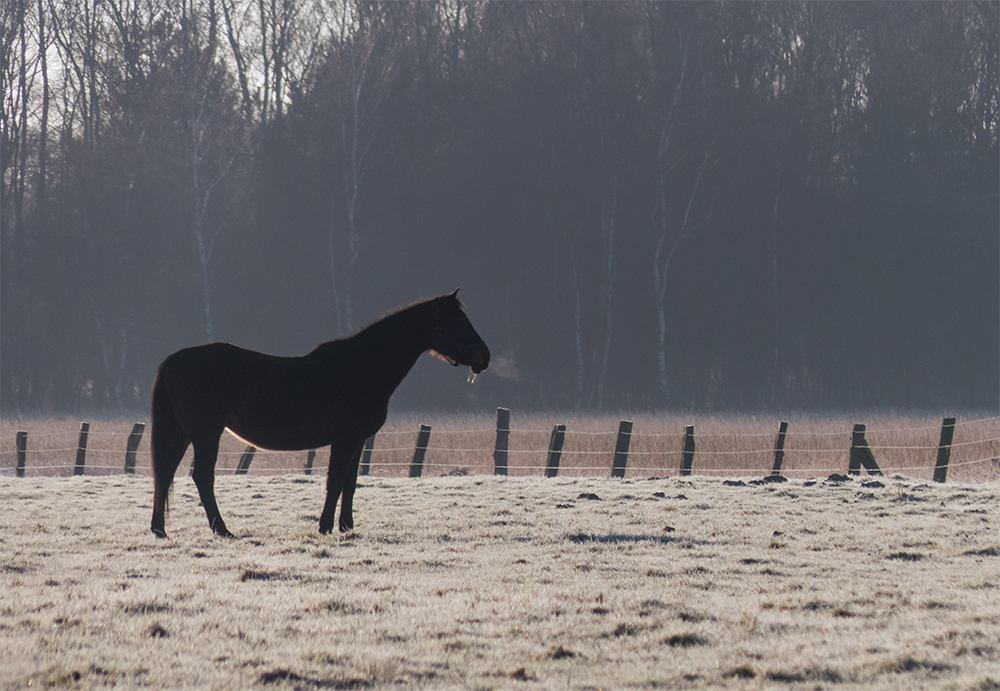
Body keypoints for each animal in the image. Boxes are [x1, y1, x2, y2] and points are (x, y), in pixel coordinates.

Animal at [150, 292, 490, 540]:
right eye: (456, 321)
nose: (484, 356)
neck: (362, 367)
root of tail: (174, 359)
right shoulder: (345, 441)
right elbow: (335, 482)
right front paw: (325, 527)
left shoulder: (358, 441)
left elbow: (350, 484)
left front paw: (347, 527)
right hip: (206, 433)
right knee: (202, 477)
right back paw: (222, 530)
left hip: (181, 433)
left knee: (164, 474)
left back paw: (159, 530)